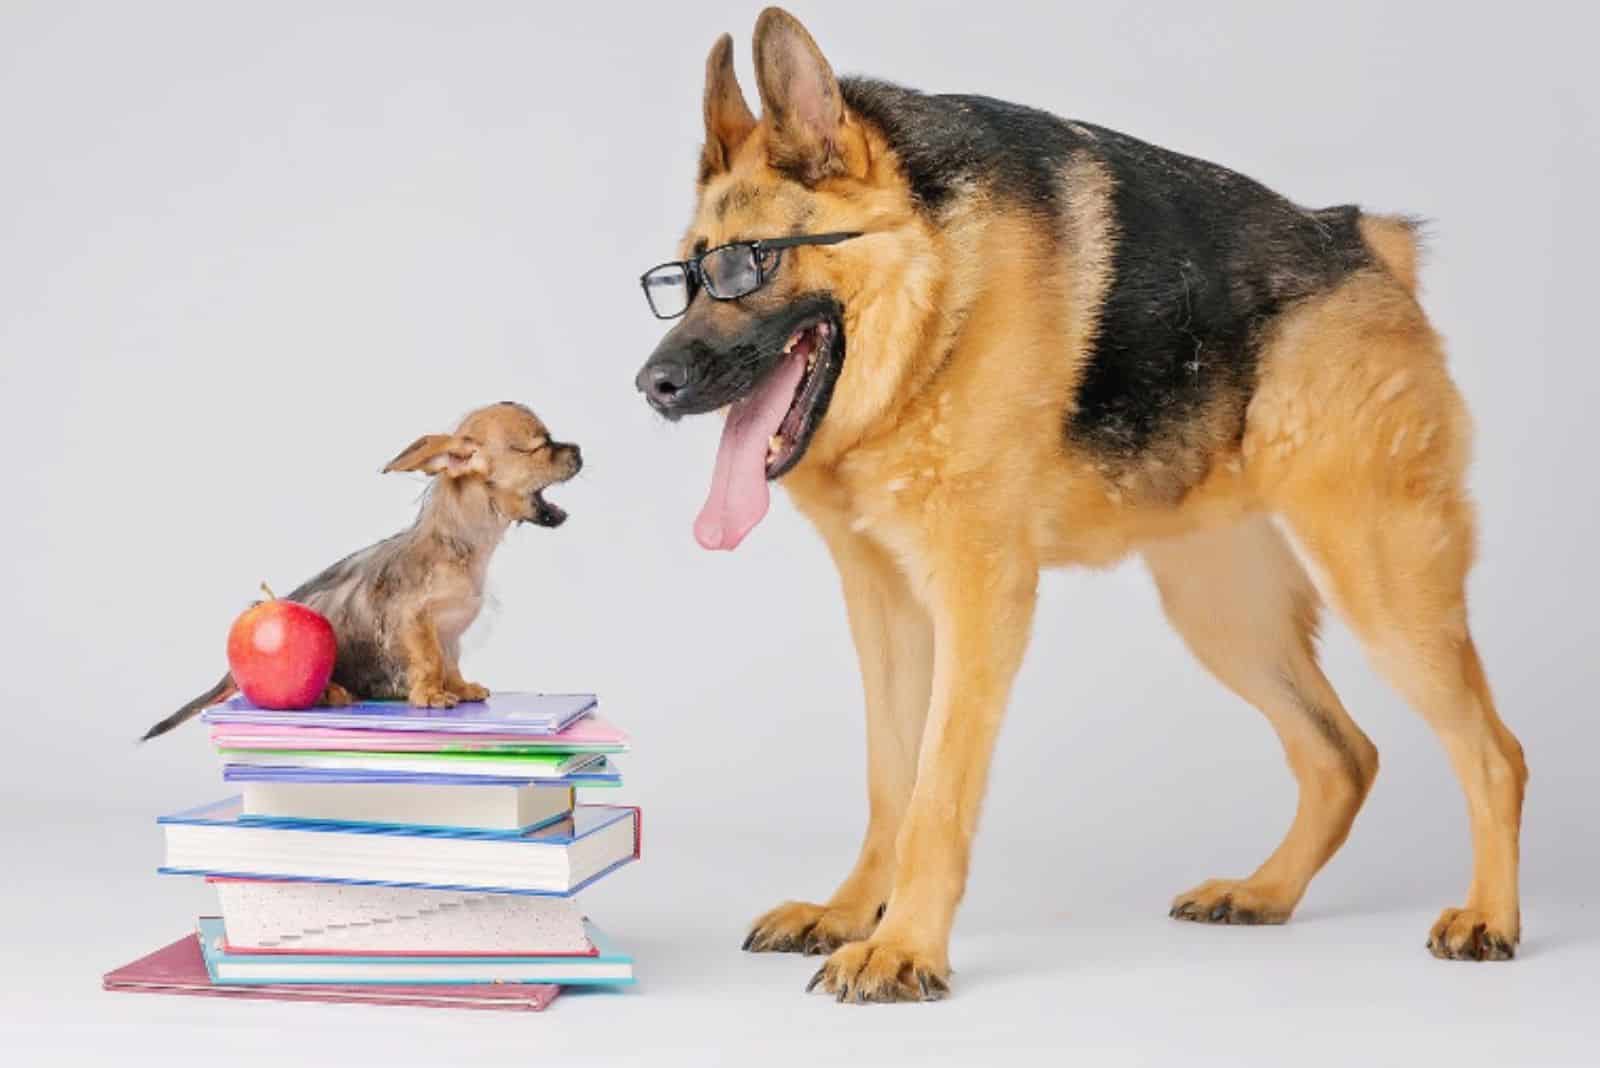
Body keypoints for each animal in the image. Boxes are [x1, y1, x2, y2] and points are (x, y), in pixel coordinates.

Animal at [144, 402, 582, 741]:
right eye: (542, 446)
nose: (579, 448)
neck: (461, 549)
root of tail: (226, 678)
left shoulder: (450, 632)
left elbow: (451, 660)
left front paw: (459, 687)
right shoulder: (412, 619)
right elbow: (429, 658)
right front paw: (431, 693)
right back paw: (332, 692)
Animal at [633, 6, 1523, 1004]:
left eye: (746, 267)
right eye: (679, 279)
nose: (652, 384)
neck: (939, 300)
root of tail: (1363, 243)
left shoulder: (981, 602)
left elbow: (937, 792)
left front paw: (905, 946)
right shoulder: (886, 610)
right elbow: (890, 781)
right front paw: (853, 911)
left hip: (1383, 586)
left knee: (1495, 753)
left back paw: (1489, 916)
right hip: (1225, 615)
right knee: (1343, 755)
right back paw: (1263, 893)